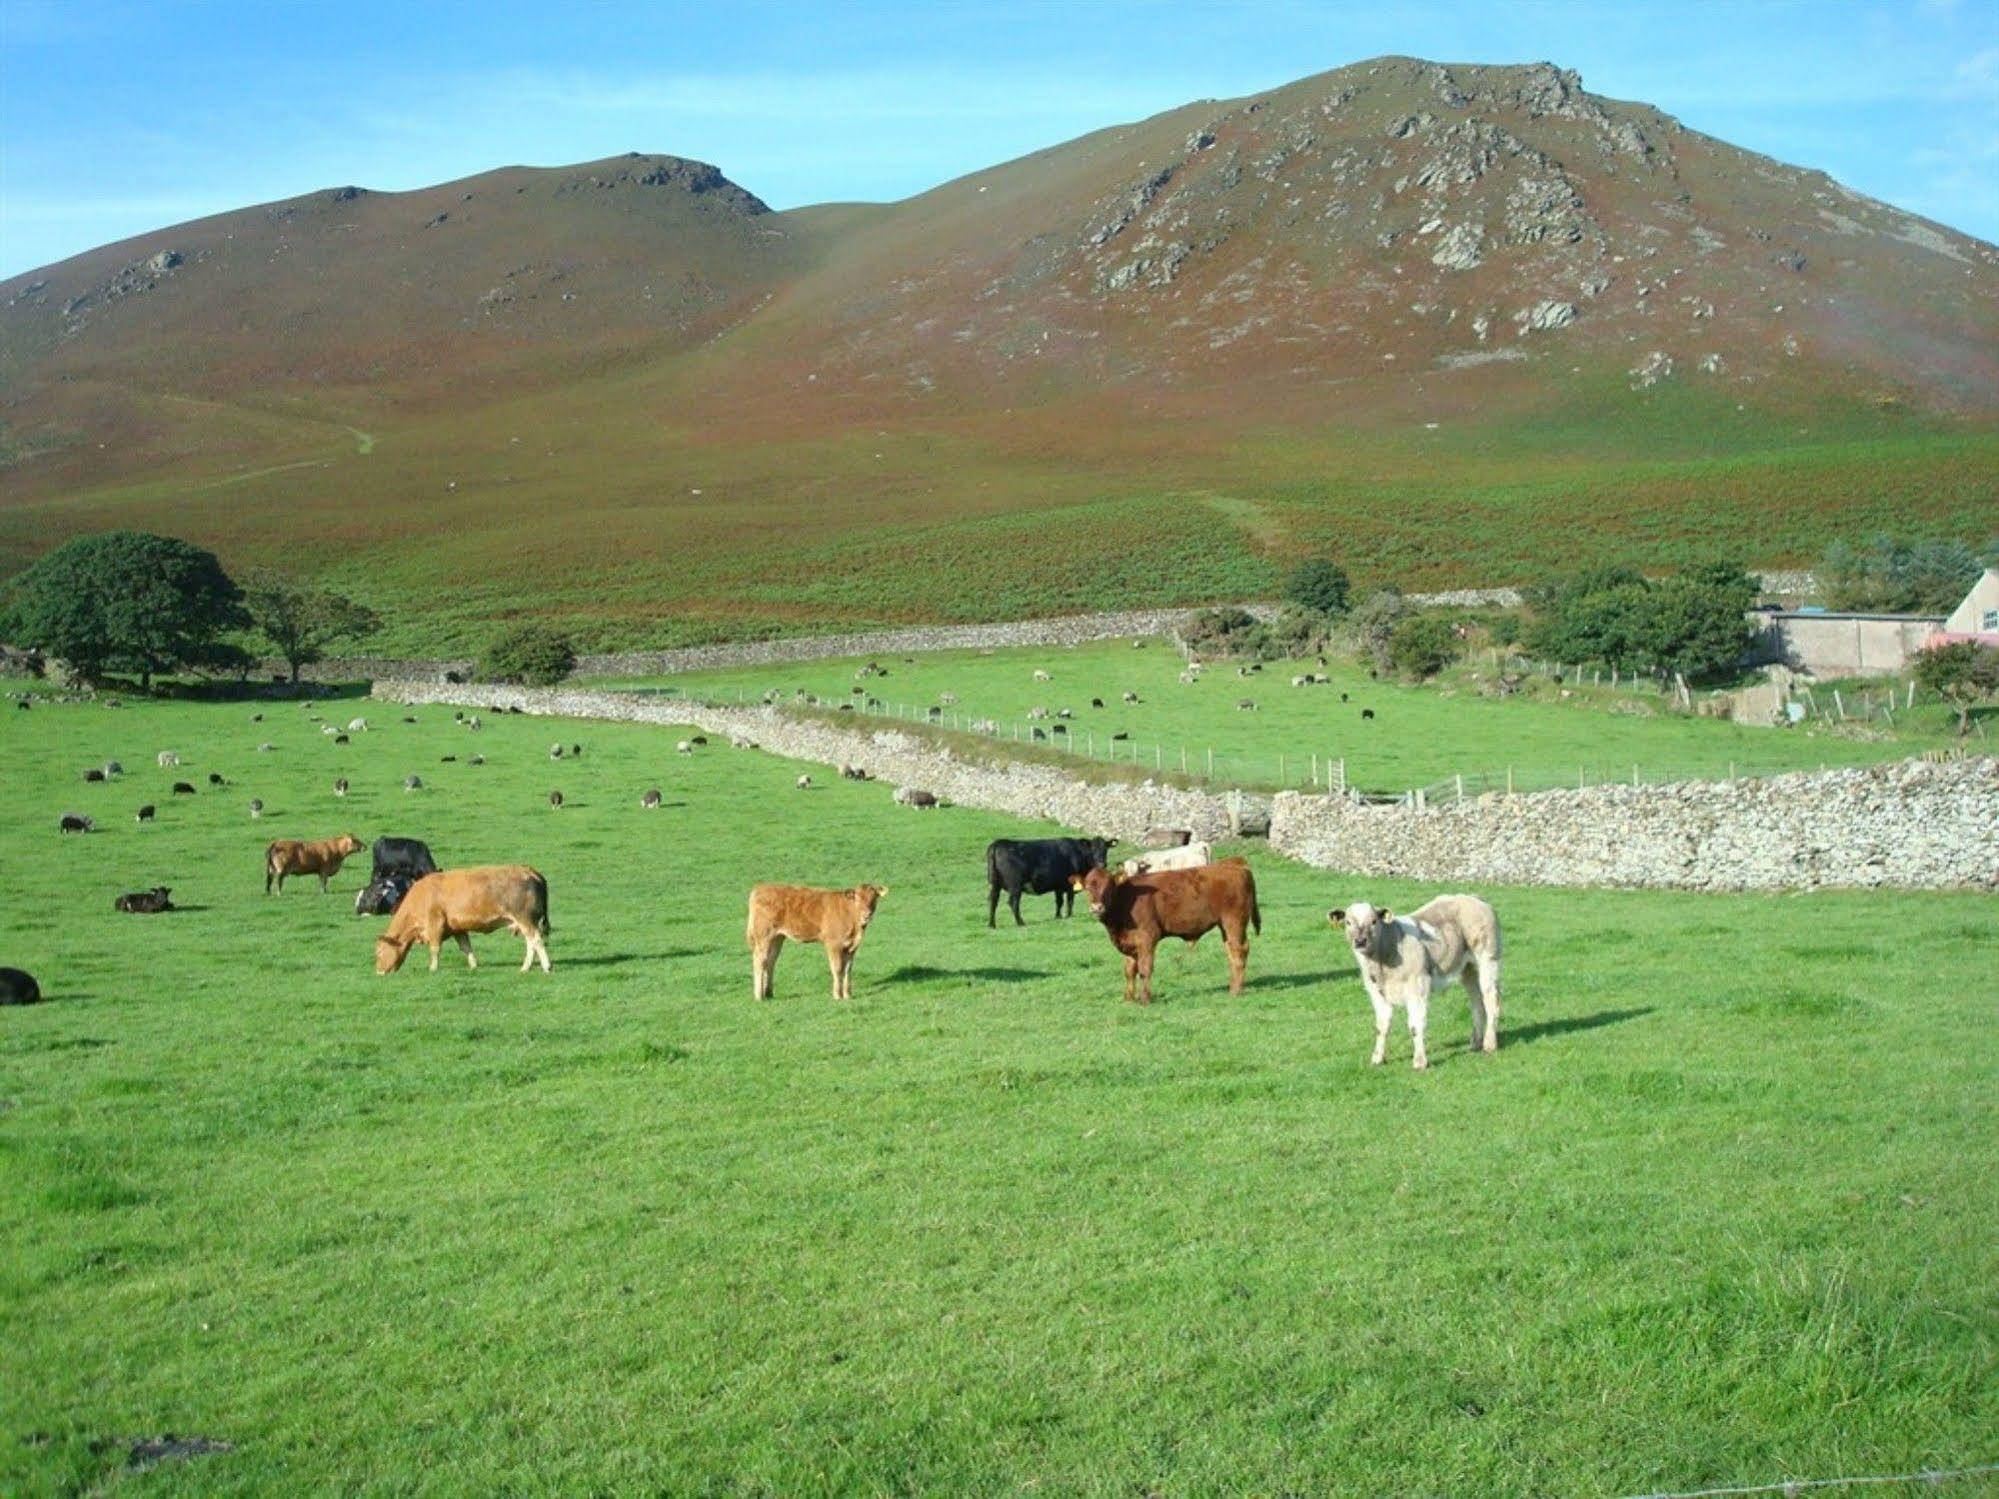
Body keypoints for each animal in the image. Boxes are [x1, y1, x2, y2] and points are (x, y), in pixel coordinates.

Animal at [371, 863, 547, 979]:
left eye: (379, 952)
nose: (378, 972)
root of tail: (528, 870)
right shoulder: (457, 928)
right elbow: (466, 947)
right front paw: (473, 965)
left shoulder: (435, 924)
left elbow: (435, 948)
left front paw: (433, 968)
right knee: (531, 943)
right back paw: (526, 967)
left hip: (525, 919)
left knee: (536, 941)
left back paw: (546, 966)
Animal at [747, 887, 887, 1003]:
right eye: (857, 898)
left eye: (874, 897)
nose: (867, 914)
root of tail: (761, 888)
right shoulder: (833, 944)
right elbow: (837, 969)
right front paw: (837, 995)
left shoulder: (851, 948)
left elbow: (848, 970)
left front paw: (848, 995)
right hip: (763, 936)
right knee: (759, 961)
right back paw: (759, 997)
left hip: (777, 938)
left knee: (770, 962)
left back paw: (768, 993)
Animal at [987, 835, 1119, 927]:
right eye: (1092, 849)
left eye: (1105, 849)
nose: (1102, 864)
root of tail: (998, 843)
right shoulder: (1069, 885)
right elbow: (1069, 901)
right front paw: (1069, 916)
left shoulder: (1058, 886)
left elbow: (1059, 902)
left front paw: (1058, 917)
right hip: (1015, 885)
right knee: (1013, 903)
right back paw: (1021, 923)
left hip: (995, 884)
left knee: (993, 901)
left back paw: (991, 925)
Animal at [1071, 855, 1255, 1011]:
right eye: (1087, 887)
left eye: (1109, 887)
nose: (1097, 907)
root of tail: (1234, 863)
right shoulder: (1130, 942)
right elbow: (1129, 971)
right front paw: (1129, 999)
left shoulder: (1147, 937)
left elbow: (1145, 969)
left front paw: (1145, 1000)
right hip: (1225, 925)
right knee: (1231, 951)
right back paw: (1232, 987)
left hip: (1234, 921)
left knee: (1239, 951)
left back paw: (1236, 991)